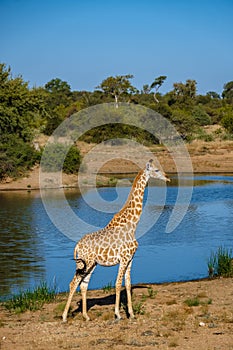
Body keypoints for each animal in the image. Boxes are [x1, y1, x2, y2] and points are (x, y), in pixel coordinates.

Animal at [62, 160, 170, 322]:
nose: (168, 178)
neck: (132, 225)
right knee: (73, 283)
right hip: (84, 262)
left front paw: (131, 313)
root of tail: (77, 246)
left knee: (83, 285)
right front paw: (118, 314)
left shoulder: (131, 259)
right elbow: (118, 284)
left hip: (91, 264)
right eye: (156, 170)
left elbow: (128, 284)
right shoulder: (123, 258)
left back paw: (86, 316)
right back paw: (64, 316)